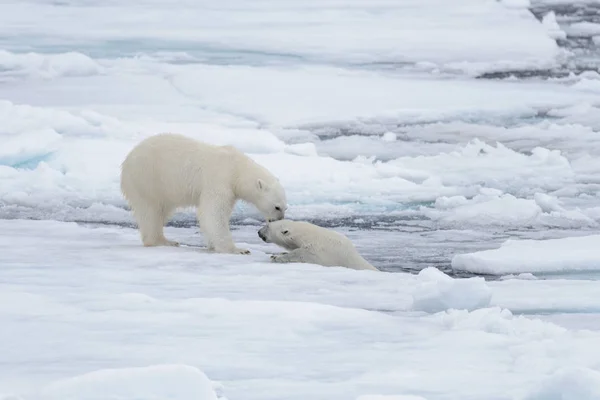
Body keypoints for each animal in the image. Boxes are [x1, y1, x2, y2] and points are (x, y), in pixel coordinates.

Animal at [120, 134, 288, 253]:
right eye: (277, 207)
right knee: (150, 211)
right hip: (148, 179)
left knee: (162, 210)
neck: (237, 168)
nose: (278, 220)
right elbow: (213, 212)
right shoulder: (219, 179)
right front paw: (237, 249)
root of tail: (127, 160)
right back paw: (161, 241)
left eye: (285, 207)